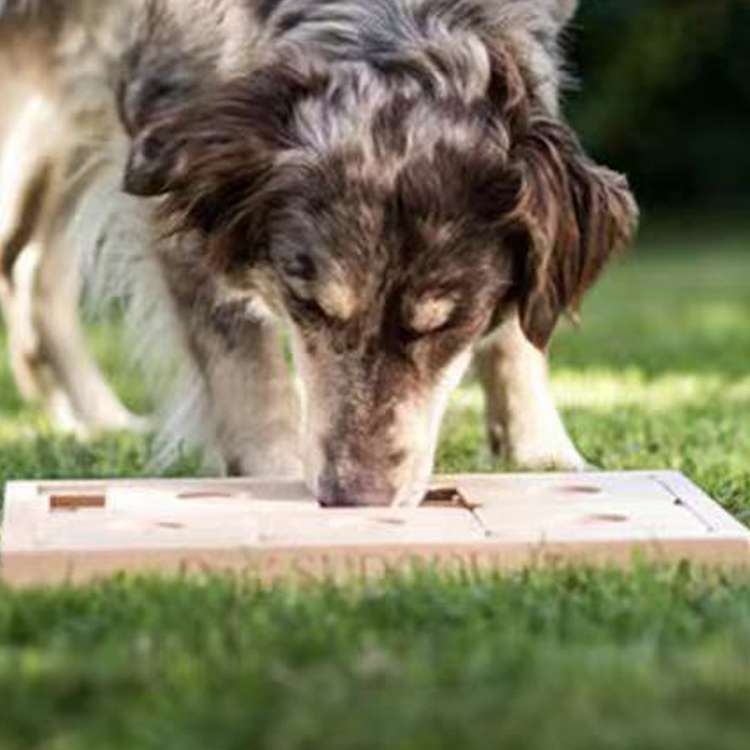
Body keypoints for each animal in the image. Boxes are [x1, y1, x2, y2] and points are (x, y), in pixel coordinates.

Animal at [1, 0, 640, 508]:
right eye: (308, 305)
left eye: (444, 326)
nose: (358, 498)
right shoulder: (168, 117)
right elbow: (244, 363)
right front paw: (272, 474)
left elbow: (520, 328)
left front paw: (541, 453)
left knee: (34, 268)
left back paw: (90, 418)